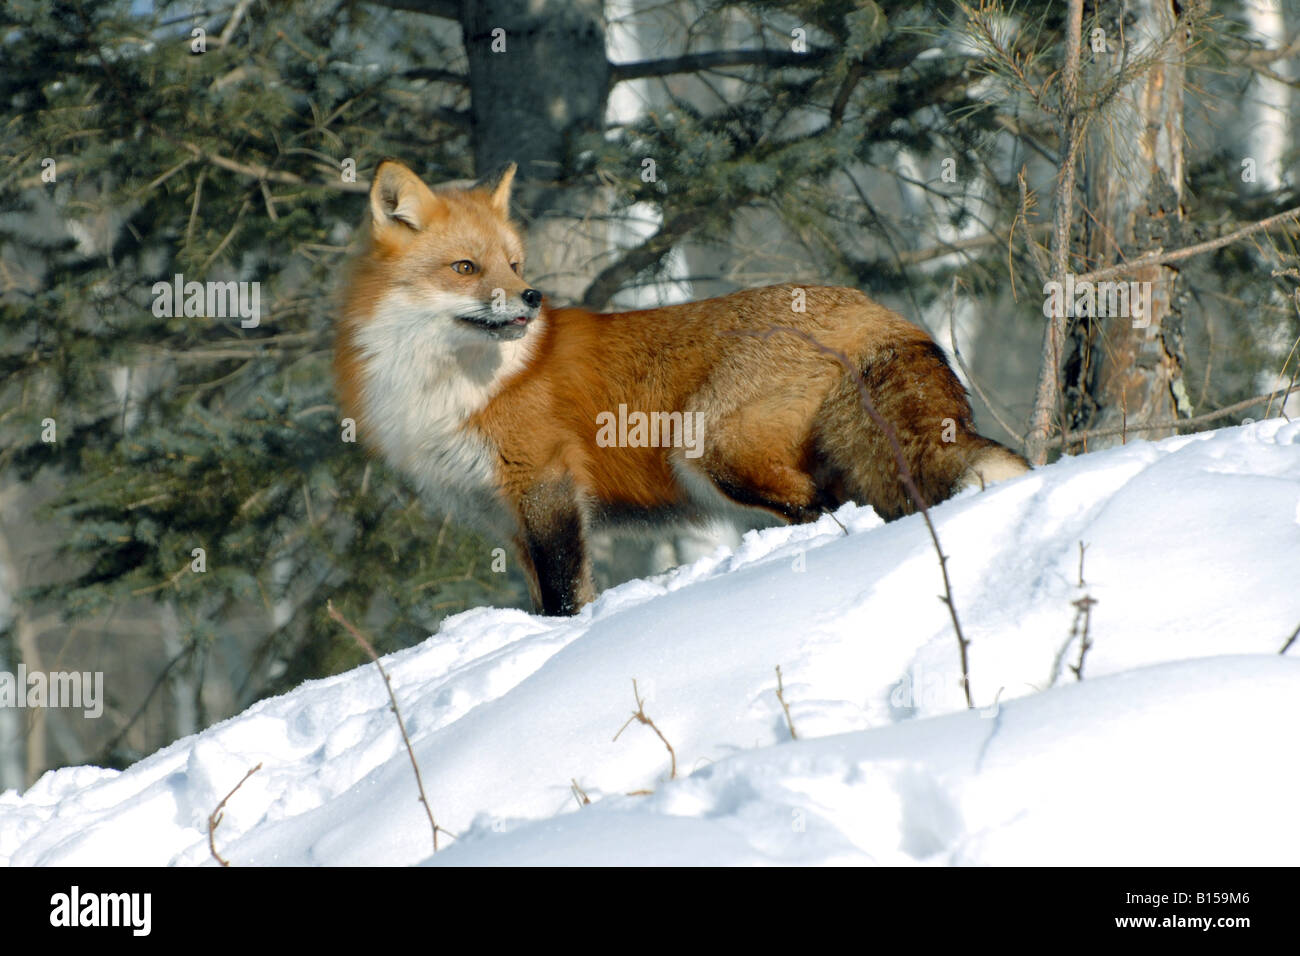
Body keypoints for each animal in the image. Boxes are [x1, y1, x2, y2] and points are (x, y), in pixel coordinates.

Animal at [340, 161, 1029, 616]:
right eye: (466, 267)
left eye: (514, 264)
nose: (532, 299)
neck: (451, 385)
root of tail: (873, 309)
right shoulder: (506, 517)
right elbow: (542, 594)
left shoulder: (545, 485)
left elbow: (565, 595)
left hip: (709, 451)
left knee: (829, 511)